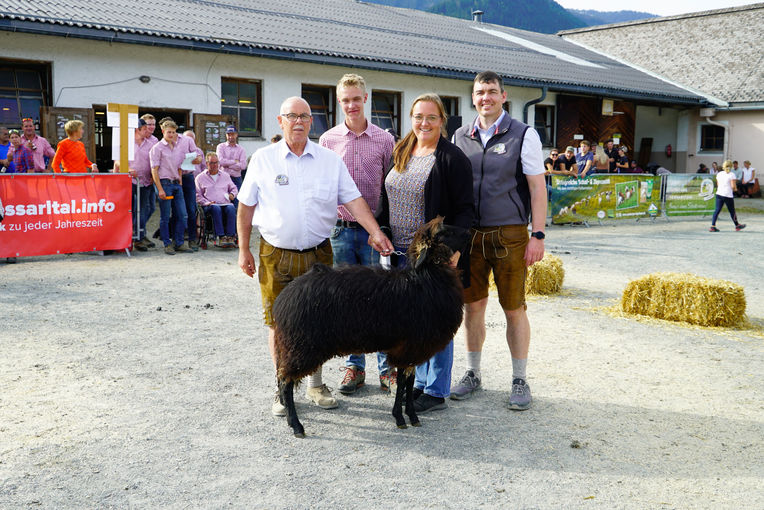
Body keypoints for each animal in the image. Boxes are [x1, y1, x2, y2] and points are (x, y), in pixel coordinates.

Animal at [272, 217, 468, 436]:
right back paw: (296, 425)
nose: (469, 232)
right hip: (300, 346)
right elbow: (402, 383)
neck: (426, 280)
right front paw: (400, 418)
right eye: (443, 233)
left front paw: (412, 417)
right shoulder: (406, 350)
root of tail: (283, 300)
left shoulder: (411, 351)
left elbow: (408, 382)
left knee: (282, 377)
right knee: (285, 380)